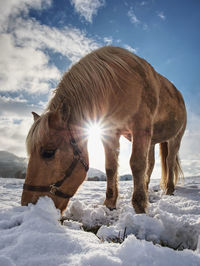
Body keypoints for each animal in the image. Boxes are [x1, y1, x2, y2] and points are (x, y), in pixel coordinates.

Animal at [21, 45, 187, 214]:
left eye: (48, 153)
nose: (28, 206)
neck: (118, 85)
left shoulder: (141, 128)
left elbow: (137, 164)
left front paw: (140, 206)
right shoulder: (110, 133)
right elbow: (110, 167)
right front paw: (110, 203)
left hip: (175, 137)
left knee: (170, 161)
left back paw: (169, 189)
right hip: (152, 140)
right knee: (151, 163)